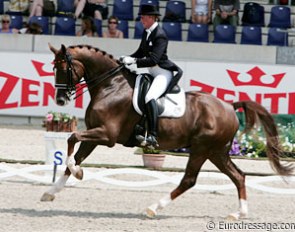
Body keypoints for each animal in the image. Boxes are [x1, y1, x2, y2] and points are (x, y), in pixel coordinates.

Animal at [41, 44, 294, 220]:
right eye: (53, 68)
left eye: (64, 69)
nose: (61, 100)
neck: (110, 86)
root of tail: (229, 106)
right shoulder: (94, 136)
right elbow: (74, 156)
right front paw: (52, 191)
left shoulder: (107, 135)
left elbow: (72, 138)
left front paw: (77, 173)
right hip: (217, 151)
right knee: (238, 176)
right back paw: (238, 214)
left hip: (202, 148)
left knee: (190, 180)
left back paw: (153, 208)